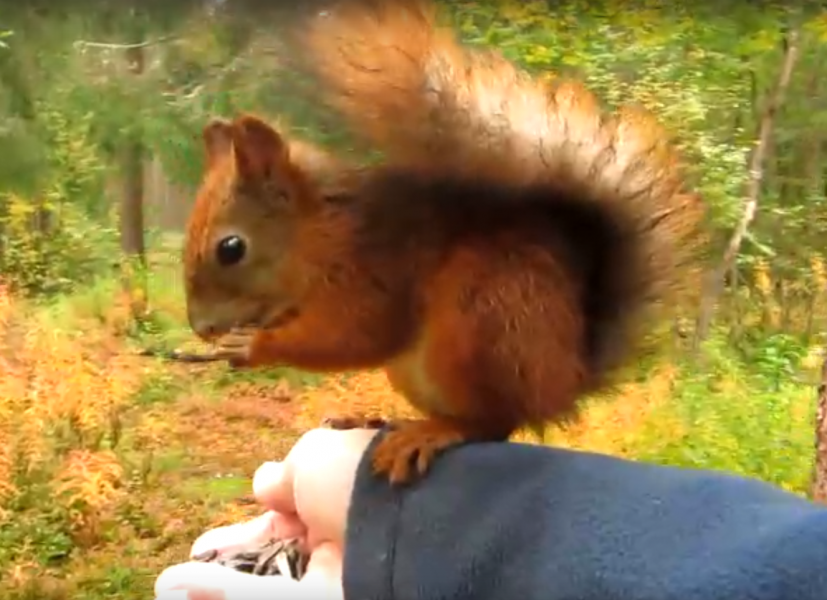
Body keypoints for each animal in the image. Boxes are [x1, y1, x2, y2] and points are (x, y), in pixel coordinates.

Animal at [182, 0, 704, 485]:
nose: (202, 328)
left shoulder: (375, 269)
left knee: (492, 421)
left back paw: (433, 432)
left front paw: (253, 345)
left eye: (231, 248)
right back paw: (378, 419)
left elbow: (357, 333)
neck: (317, 234)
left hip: (479, 323)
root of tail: (566, 381)